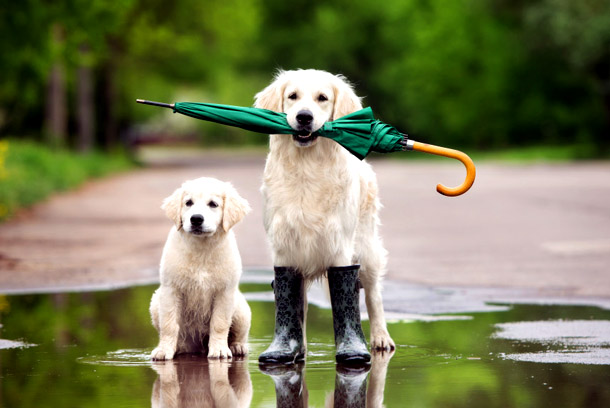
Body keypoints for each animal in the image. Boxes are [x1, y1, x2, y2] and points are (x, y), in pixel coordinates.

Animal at [148, 177, 251, 358]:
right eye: (188, 202)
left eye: (213, 204)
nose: (196, 219)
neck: (202, 249)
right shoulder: (170, 289)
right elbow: (169, 324)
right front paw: (164, 350)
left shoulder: (225, 292)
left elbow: (220, 323)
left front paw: (219, 350)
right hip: (155, 302)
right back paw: (178, 348)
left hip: (240, 309)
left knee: (239, 333)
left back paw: (237, 347)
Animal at [253, 70, 392, 364]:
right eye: (292, 96)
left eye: (322, 98)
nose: (304, 117)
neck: (307, 167)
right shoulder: (285, 247)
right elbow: (291, 301)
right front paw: (289, 348)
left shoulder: (339, 245)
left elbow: (348, 295)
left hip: (367, 248)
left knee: (373, 295)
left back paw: (380, 338)